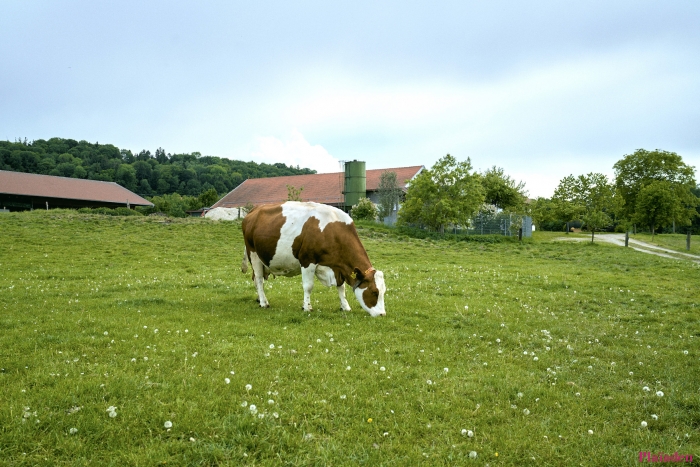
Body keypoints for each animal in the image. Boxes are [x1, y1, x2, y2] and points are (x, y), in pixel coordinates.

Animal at [242, 202, 388, 318]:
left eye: (383, 292)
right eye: (374, 292)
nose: (382, 314)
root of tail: (255, 209)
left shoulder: (337, 268)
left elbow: (341, 288)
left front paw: (345, 306)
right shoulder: (307, 260)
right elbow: (308, 286)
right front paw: (307, 307)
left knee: (256, 279)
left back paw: (261, 299)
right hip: (253, 254)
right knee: (259, 279)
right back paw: (263, 302)